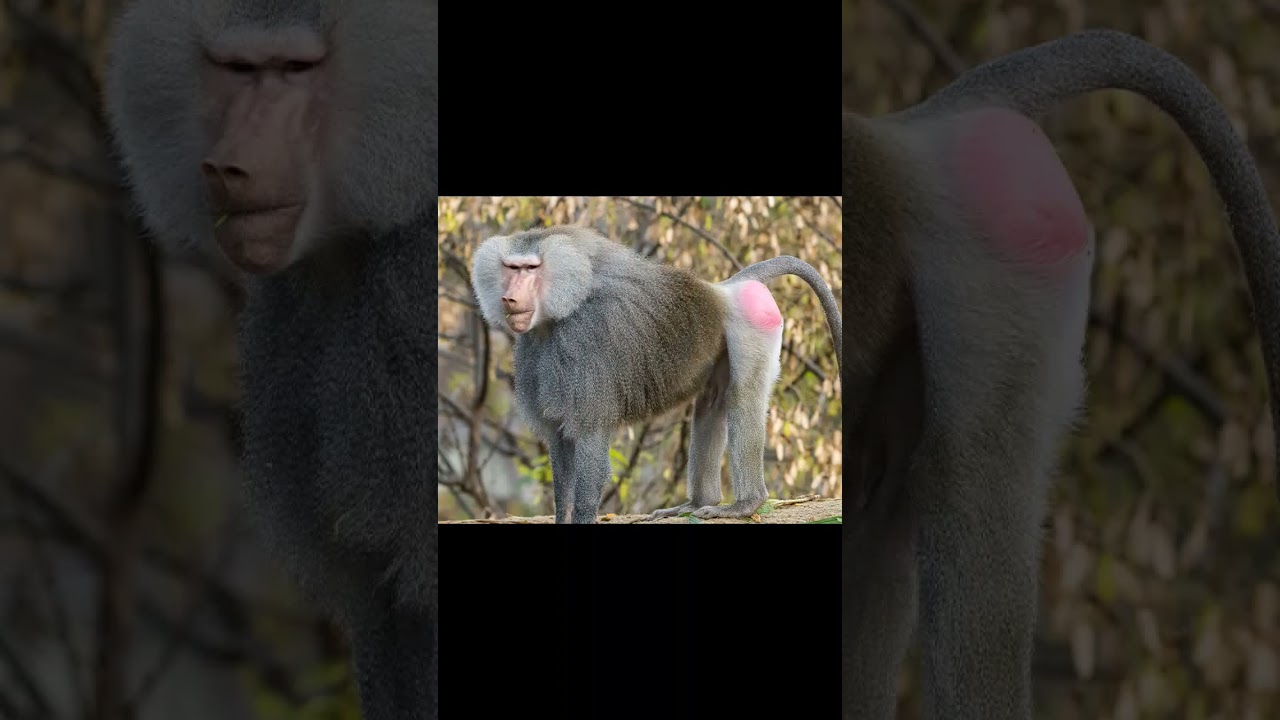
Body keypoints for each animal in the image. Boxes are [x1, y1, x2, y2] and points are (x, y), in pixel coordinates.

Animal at [470, 225, 842, 524]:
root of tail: (725, 288)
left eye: (530, 269)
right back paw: (697, 504)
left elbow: (590, 446)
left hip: (753, 322)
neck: (557, 317)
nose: (509, 298)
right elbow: (561, 448)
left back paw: (745, 505)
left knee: (743, 397)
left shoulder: (586, 346)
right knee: (712, 404)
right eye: (510, 268)